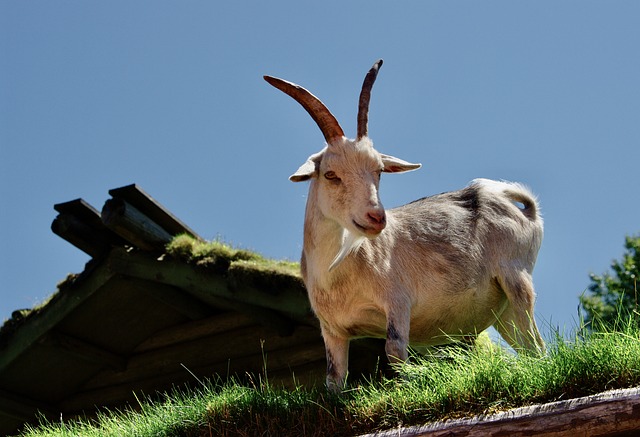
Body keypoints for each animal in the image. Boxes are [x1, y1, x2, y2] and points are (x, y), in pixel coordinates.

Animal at [264, 59, 544, 390]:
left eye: (379, 171)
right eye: (331, 174)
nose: (376, 217)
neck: (341, 270)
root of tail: (520, 207)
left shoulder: (397, 304)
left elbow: (394, 351)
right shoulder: (332, 330)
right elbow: (334, 377)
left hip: (517, 280)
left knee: (537, 345)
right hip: (504, 311)